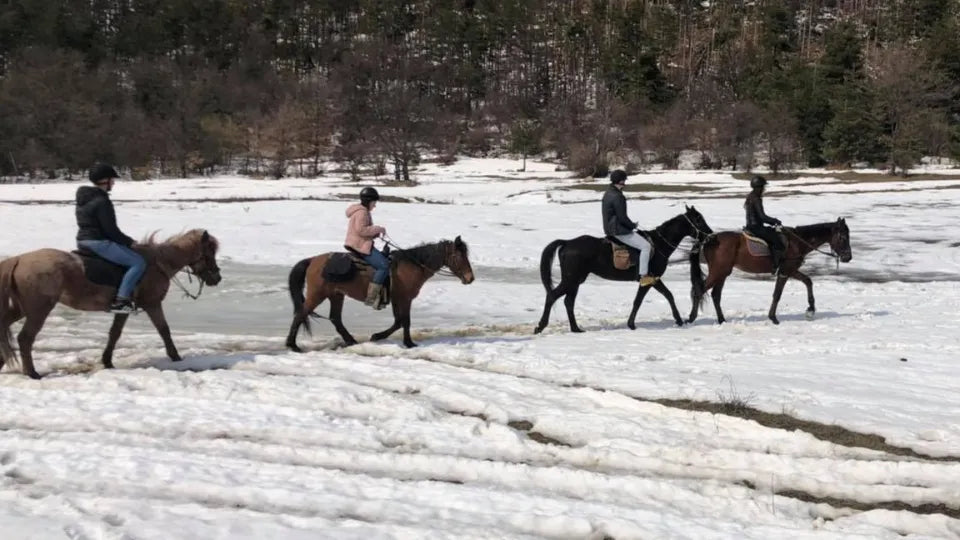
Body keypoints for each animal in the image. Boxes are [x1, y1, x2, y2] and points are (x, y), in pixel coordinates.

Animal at [0, 229, 222, 379]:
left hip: (23, 308)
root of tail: (19, 259)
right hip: (39, 309)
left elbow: (114, 334)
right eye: (209, 253)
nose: (217, 278)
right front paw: (176, 357)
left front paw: (107, 361)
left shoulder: (123, 309)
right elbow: (164, 330)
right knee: (25, 338)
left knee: (5, 326)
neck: (157, 263)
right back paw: (32, 372)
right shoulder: (152, 304)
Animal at [286, 236, 475, 350]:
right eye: (459, 256)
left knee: (335, 318)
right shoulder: (405, 299)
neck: (411, 266)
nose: (470, 278)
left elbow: (398, 322)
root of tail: (312, 260)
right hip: (317, 295)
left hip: (336, 295)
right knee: (301, 313)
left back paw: (351, 341)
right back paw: (292, 345)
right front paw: (408, 343)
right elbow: (405, 321)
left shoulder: (398, 299)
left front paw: (378, 336)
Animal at [534, 205, 713, 334]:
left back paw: (576, 329)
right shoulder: (651, 278)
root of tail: (567, 242)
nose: (710, 234)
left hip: (575, 281)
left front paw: (632, 324)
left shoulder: (650, 280)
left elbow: (643, 300)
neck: (659, 244)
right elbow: (662, 296)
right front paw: (679, 320)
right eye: (699, 219)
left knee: (568, 302)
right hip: (571, 280)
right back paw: (540, 326)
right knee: (552, 296)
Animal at [687, 218, 852, 325]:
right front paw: (773, 318)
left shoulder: (791, 270)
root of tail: (709, 240)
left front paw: (811, 309)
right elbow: (777, 294)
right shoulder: (785, 271)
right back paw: (691, 318)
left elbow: (808, 281)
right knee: (699, 290)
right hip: (718, 272)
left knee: (715, 295)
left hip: (722, 273)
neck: (797, 242)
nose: (848, 257)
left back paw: (721, 320)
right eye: (843, 237)